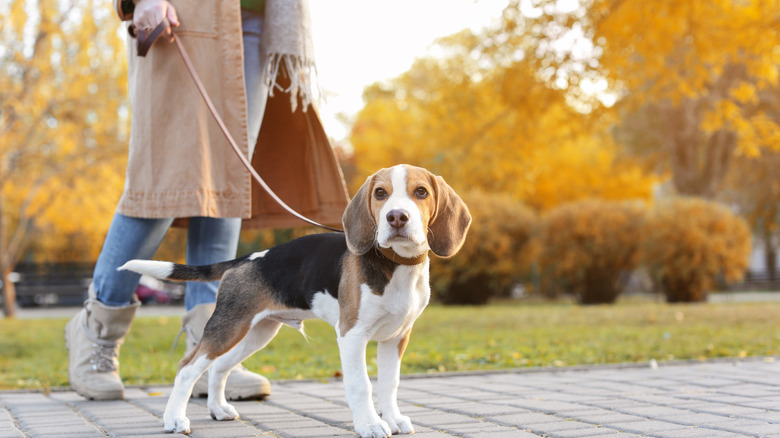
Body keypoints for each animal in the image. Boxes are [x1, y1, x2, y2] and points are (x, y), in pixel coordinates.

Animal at [117, 165, 470, 438]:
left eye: (421, 192)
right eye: (381, 194)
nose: (396, 217)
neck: (396, 264)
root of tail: (245, 259)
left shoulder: (396, 337)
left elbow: (389, 384)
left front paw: (393, 419)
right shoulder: (352, 336)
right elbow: (362, 385)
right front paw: (370, 425)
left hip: (254, 333)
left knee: (218, 366)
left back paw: (217, 409)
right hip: (227, 327)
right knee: (187, 367)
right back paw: (174, 419)